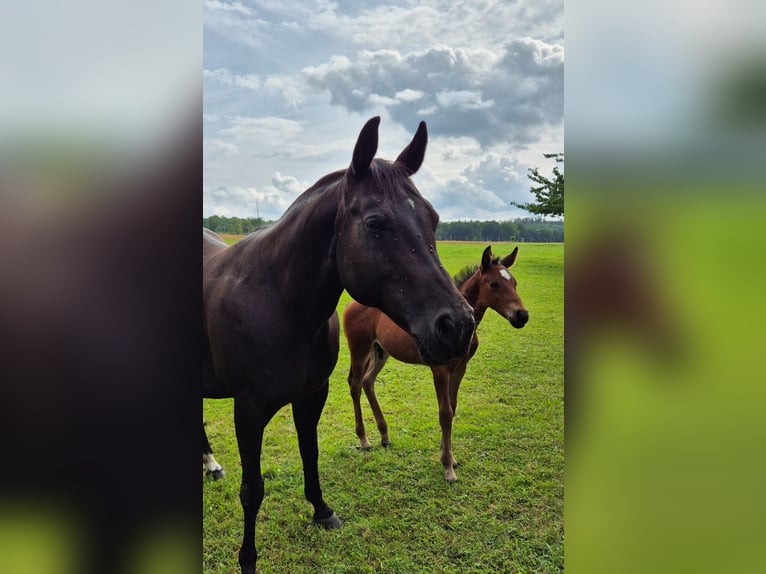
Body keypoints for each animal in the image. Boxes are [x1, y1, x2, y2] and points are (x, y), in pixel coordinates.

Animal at [203, 116, 476, 574]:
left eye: (434, 219)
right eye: (375, 223)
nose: (458, 326)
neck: (280, 301)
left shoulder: (312, 395)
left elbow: (309, 455)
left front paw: (322, 510)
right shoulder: (249, 410)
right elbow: (252, 489)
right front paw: (248, 559)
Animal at [343, 245, 529, 482]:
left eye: (514, 283)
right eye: (493, 284)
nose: (522, 315)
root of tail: (350, 305)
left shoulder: (460, 368)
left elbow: (453, 407)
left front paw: (448, 453)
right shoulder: (440, 369)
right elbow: (445, 413)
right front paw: (447, 466)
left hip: (380, 351)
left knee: (368, 381)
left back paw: (384, 435)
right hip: (359, 349)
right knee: (355, 384)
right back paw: (364, 439)